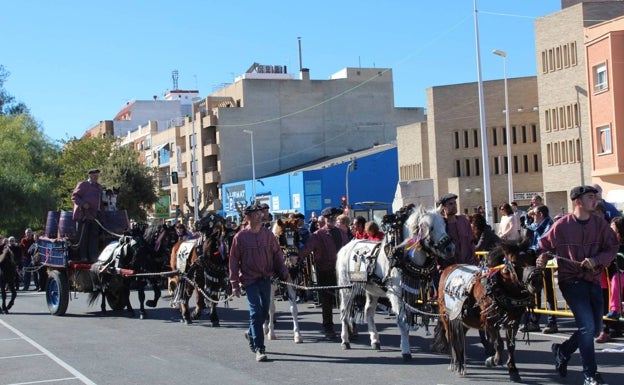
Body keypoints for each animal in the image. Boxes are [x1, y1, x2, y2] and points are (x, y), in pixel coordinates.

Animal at [336, 204, 454, 360]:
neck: (400, 255)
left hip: (372, 290)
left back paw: (375, 340)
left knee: (368, 312)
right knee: (344, 312)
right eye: (431, 227)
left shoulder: (409, 293)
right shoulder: (396, 293)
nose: (450, 248)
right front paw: (406, 350)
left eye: (445, 225)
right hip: (347, 289)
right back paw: (345, 340)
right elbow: (402, 321)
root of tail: (346, 246)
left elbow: (407, 319)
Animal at [436, 237, 544, 380]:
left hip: (464, 320)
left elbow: (511, 345)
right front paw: (493, 360)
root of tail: (448, 268)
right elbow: (499, 344)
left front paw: (513, 369)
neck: (499, 287)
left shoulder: (513, 321)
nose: (536, 281)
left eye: (532, 258)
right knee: (452, 338)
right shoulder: (489, 321)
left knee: (460, 337)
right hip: (447, 316)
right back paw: (458, 364)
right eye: (514, 262)